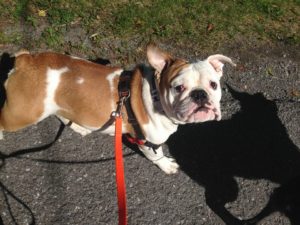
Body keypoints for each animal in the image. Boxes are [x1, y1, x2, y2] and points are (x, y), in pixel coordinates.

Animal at [0, 44, 234, 174]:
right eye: (179, 88)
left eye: (213, 85)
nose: (200, 94)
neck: (156, 96)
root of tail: (25, 60)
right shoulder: (147, 141)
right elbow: (156, 156)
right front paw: (166, 165)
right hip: (24, 113)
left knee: (61, 114)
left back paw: (79, 126)